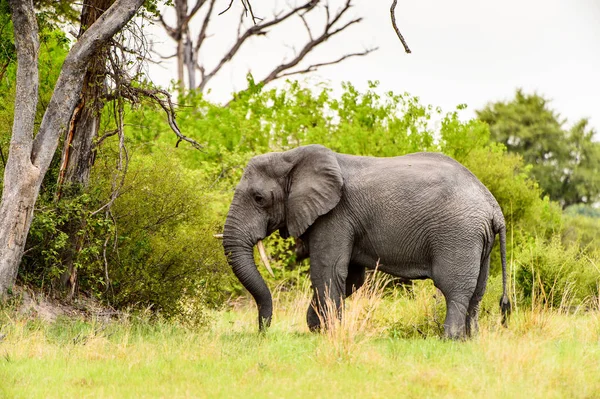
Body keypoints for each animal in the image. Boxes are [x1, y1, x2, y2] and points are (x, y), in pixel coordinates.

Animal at [221, 145, 510, 340]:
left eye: (259, 198)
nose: (263, 331)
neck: (290, 156)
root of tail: (493, 207)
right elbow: (350, 278)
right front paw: (317, 328)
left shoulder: (335, 215)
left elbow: (327, 272)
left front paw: (329, 333)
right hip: (479, 240)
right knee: (477, 292)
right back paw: (470, 341)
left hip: (458, 234)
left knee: (455, 289)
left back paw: (448, 340)